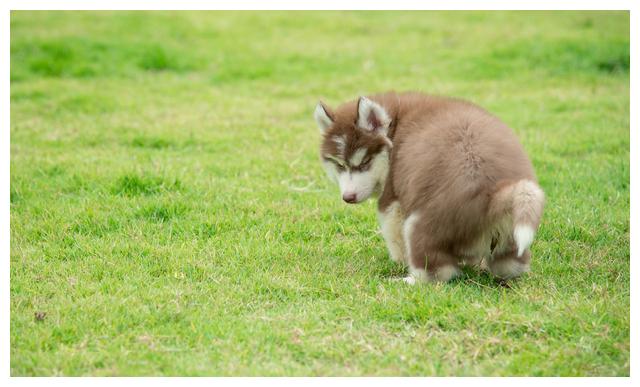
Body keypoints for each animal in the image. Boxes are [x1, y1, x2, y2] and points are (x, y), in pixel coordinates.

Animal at [316, 92, 544, 284]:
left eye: (364, 163)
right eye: (340, 165)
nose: (348, 197)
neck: (395, 127)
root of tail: (495, 194)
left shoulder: (392, 199)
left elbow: (393, 234)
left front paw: (398, 261)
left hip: (420, 224)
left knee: (439, 272)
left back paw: (406, 280)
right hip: (509, 237)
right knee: (510, 265)